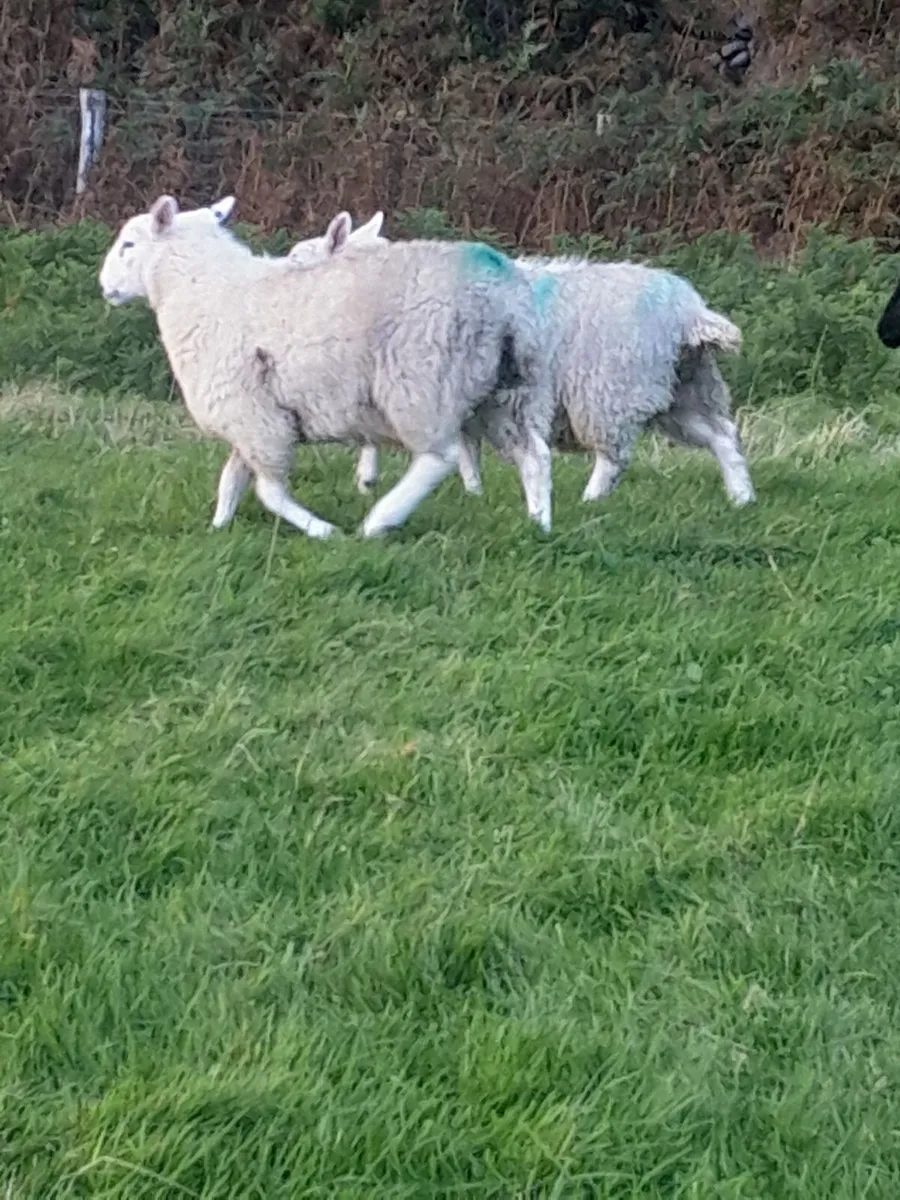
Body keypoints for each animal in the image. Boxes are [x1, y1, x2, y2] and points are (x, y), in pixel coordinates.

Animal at [98, 194, 554, 540]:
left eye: (129, 245)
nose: (104, 287)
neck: (202, 289)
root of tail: (503, 296)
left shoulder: (253, 417)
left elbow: (268, 492)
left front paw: (321, 530)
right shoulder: (253, 415)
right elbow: (231, 480)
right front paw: (219, 527)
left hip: (423, 383)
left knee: (439, 457)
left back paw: (380, 520)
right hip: (505, 390)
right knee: (535, 454)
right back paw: (539, 525)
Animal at [287, 213, 754, 508]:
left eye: (297, 259)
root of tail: (689, 312)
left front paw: (368, 478)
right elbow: (466, 451)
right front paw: (473, 493)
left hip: (611, 391)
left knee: (614, 457)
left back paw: (590, 500)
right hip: (683, 388)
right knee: (723, 438)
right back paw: (742, 498)